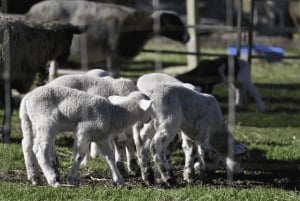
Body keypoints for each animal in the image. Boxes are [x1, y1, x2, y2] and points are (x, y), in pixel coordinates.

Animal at [19, 85, 152, 187]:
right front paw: (71, 179)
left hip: (29, 122)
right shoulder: (84, 130)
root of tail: (27, 98)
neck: (113, 114)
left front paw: (119, 181)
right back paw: (52, 179)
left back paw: (34, 177)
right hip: (45, 122)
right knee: (39, 149)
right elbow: (79, 155)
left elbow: (110, 158)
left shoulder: (101, 137)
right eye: (150, 108)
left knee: (26, 145)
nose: (150, 119)